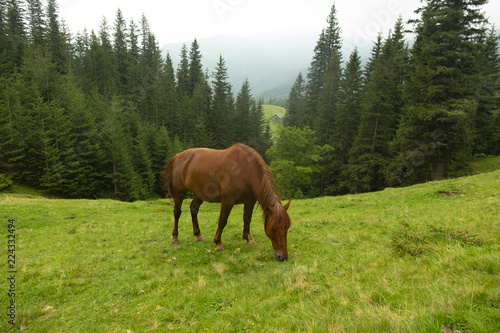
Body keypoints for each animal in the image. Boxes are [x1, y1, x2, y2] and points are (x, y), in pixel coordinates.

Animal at [160, 142, 292, 260]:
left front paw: (248, 239)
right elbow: (222, 221)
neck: (244, 171)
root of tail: (178, 156)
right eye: (273, 229)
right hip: (179, 192)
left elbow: (247, 219)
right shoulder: (228, 201)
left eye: (287, 228)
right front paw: (218, 244)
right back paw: (175, 239)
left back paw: (199, 236)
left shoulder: (250, 201)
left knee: (194, 209)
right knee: (177, 212)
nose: (282, 256)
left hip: (199, 193)